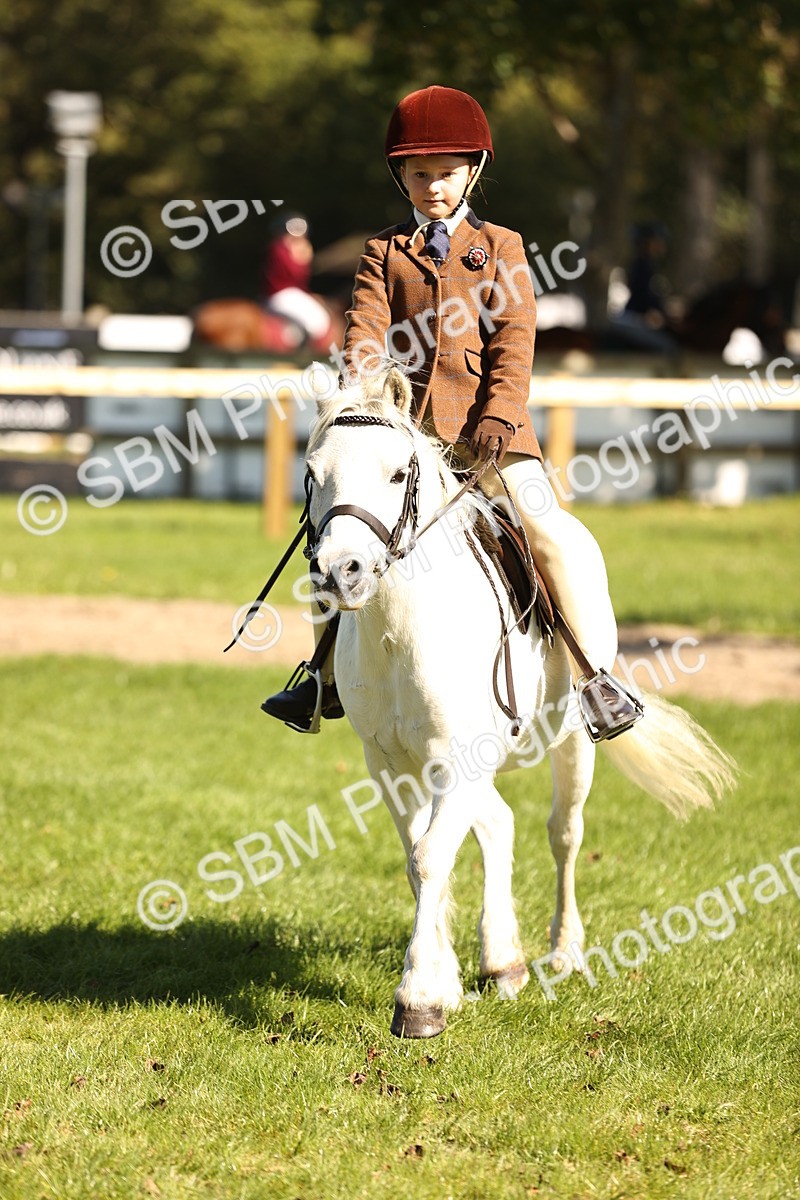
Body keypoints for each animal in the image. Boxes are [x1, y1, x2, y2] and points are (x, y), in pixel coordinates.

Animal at [303, 365, 736, 1038]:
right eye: (313, 473)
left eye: (397, 474)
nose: (339, 571)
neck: (400, 627)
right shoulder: (389, 764)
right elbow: (417, 858)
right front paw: (447, 982)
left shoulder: (454, 761)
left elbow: (431, 858)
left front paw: (419, 1000)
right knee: (499, 824)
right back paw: (503, 960)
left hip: (572, 743)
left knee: (564, 834)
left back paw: (564, 953)